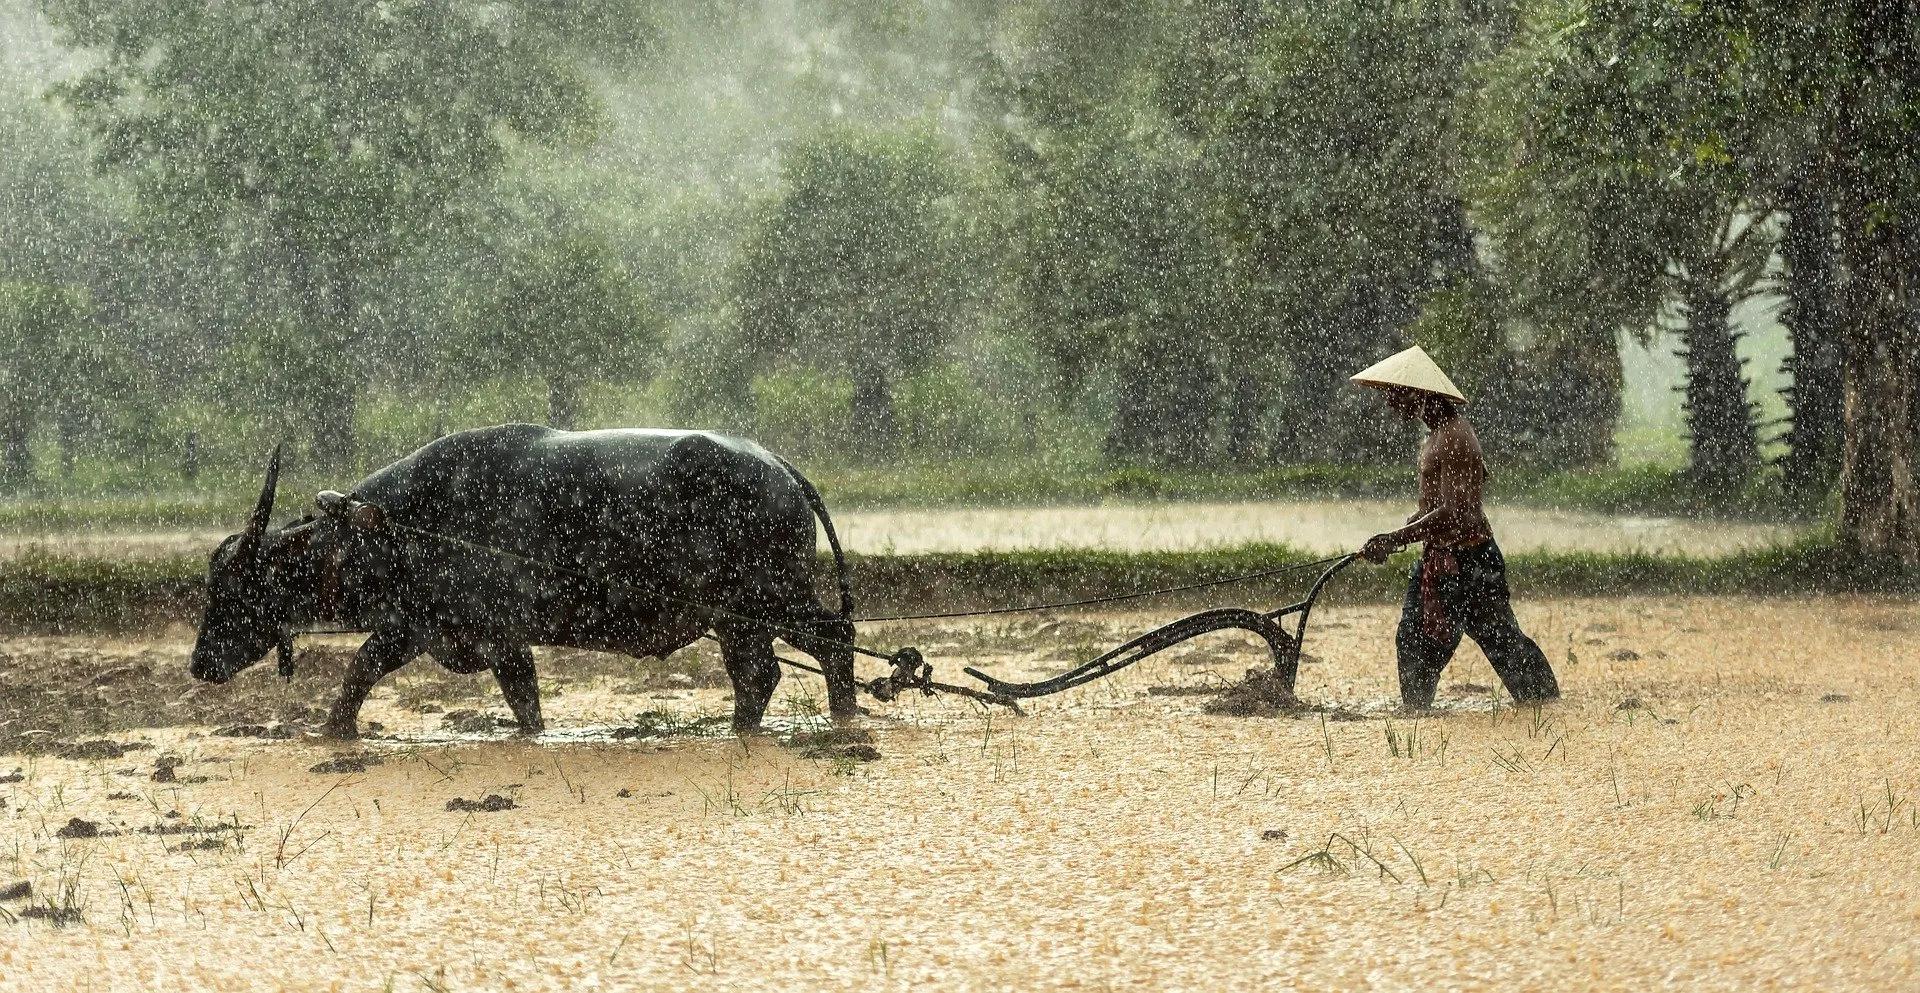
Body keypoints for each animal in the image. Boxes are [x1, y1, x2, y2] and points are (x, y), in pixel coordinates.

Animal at [189, 422, 856, 737]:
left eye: (234, 587)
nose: (198, 664)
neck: (401, 523)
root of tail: (779, 468)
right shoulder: (417, 630)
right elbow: (361, 673)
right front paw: (332, 734)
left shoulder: (493, 636)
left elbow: (519, 702)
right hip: (739, 618)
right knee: (760, 674)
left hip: (774, 598)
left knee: (833, 639)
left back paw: (844, 719)